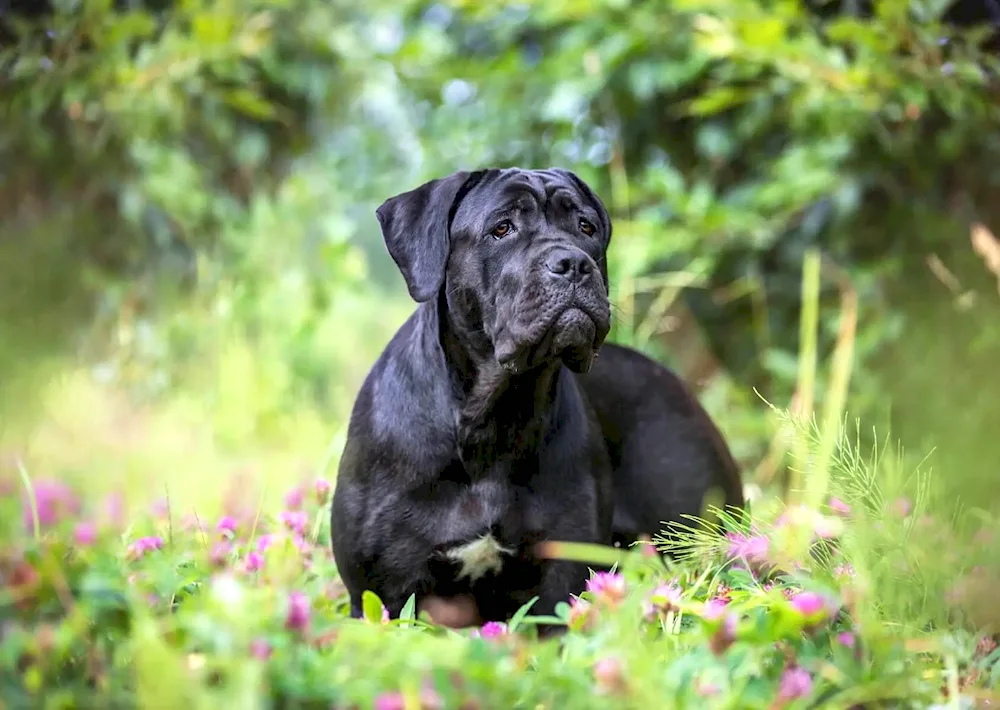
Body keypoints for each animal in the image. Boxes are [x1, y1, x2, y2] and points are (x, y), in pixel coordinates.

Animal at [330, 167, 744, 628]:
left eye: (586, 227)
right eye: (502, 228)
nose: (574, 263)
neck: (494, 412)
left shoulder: (558, 579)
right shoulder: (386, 591)